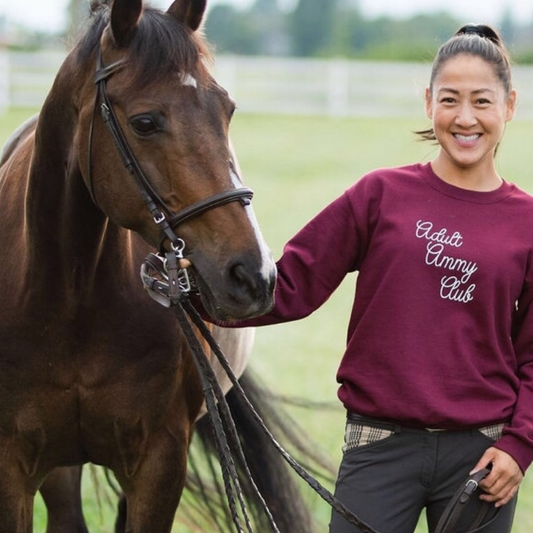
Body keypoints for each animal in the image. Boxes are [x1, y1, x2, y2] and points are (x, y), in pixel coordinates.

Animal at [0, 0, 328, 528]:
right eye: (145, 123)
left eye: (227, 110)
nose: (253, 275)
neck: (68, 295)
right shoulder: (11, 464)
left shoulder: (159, 461)